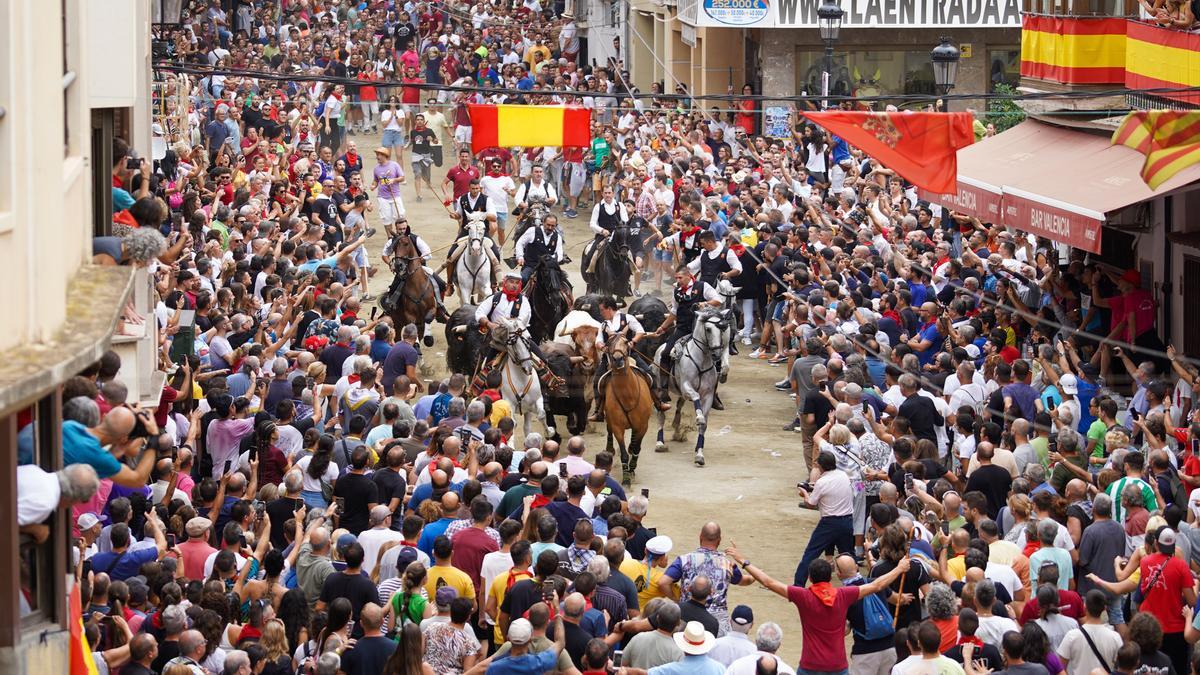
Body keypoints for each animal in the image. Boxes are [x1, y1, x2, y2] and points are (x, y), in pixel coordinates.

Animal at [600, 331, 657, 480]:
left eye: (626, 342)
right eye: (609, 343)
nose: (618, 359)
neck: (628, 397)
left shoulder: (643, 425)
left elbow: (637, 448)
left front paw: (632, 468)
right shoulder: (617, 427)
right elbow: (624, 452)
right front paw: (626, 476)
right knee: (609, 430)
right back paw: (610, 449)